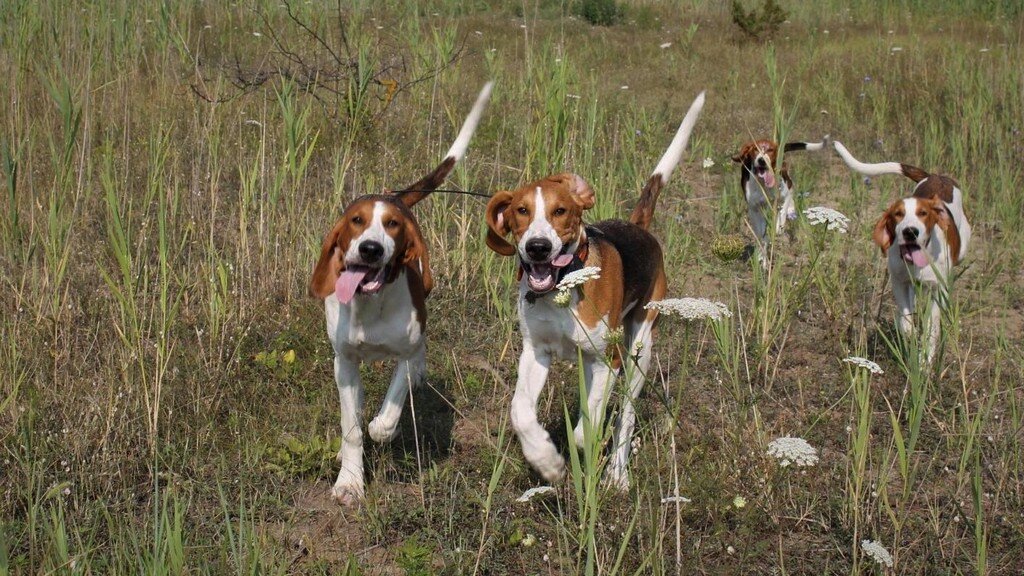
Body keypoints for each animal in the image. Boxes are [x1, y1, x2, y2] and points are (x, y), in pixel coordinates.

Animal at [307, 80, 491, 502]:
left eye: (392, 225)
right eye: (356, 221)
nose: (370, 249)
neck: (371, 305)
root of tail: (394, 193)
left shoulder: (404, 352)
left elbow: (390, 408)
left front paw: (382, 427)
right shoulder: (344, 363)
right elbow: (352, 429)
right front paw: (350, 481)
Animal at [483, 91, 708, 485]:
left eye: (560, 211)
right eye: (521, 211)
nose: (538, 247)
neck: (561, 289)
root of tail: (638, 228)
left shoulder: (609, 359)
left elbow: (585, 430)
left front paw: (580, 448)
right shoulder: (535, 352)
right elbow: (520, 412)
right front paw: (546, 460)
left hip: (638, 350)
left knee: (625, 416)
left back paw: (617, 473)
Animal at [831, 140, 966, 356]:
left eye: (923, 213)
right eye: (898, 214)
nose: (910, 232)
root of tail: (935, 176)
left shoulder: (937, 290)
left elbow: (931, 329)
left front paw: (924, 359)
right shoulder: (898, 282)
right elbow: (906, 320)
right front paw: (909, 337)